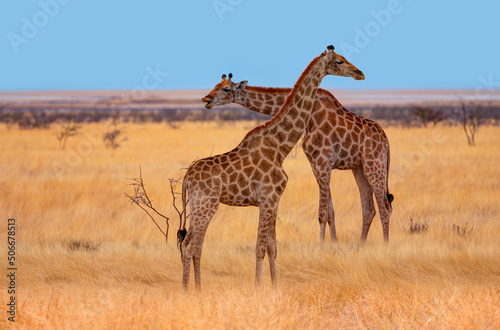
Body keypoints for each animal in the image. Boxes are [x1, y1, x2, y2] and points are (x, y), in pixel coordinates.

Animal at [178, 45, 366, 290]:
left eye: (225, 88)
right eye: (340, 61)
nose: (359, 73)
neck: (280, 145)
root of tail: (187, 178)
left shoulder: (274, 200)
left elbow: (272, 247)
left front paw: (275, 286)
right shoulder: (267, 198)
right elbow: (259, 247)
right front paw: (258, 287)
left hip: (199, 206)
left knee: (194, 245)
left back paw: (198, 289)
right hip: (205, 205)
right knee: (189, 245)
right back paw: (186, 291)